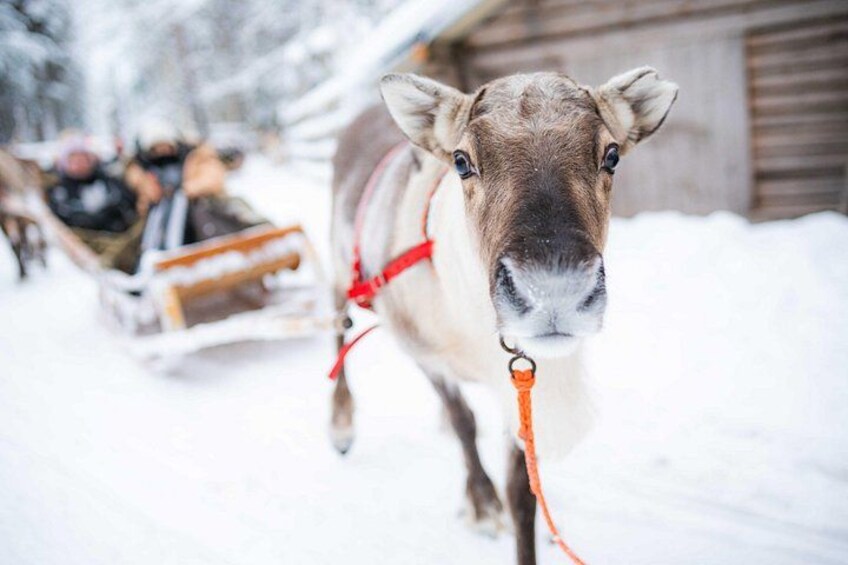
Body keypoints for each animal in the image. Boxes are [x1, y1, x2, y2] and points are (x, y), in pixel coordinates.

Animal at [329, 67, 678, 565]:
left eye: (611, 155)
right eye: (461, 161)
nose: (554, 292)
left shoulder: (521, 382)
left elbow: (522, 489)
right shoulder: (422, 351)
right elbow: (464, 422)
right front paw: (481, 504)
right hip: (341, 273)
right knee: (339, 329)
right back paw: (340, 426)